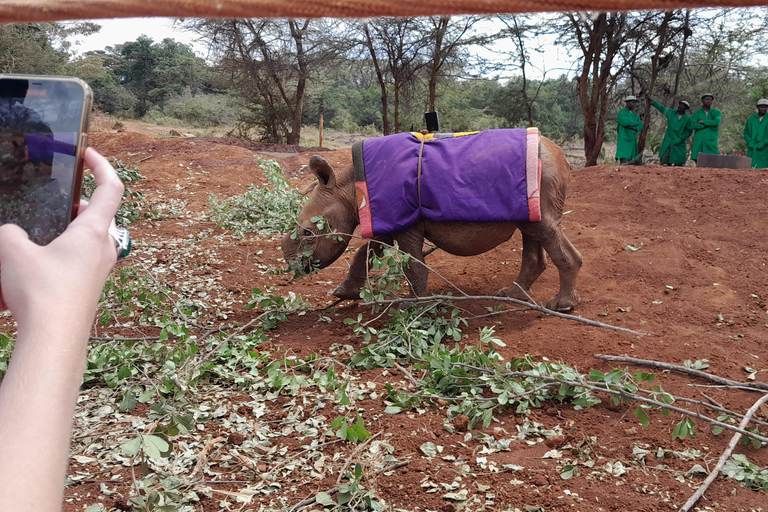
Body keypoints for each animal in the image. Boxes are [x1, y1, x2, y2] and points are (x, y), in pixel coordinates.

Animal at [282, 129, 584, 312]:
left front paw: (413, 305)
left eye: (308, 234)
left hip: (542, 175)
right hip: (535, 186)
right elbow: (365, 252)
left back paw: (562, 306)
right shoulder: (386, 218)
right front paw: (344, 293)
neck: (349, 188)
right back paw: (511, 295)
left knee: (541, 228)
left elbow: (413, 264)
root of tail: (562, 155)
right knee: (531, 229)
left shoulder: (405, 223)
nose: (293, 266)